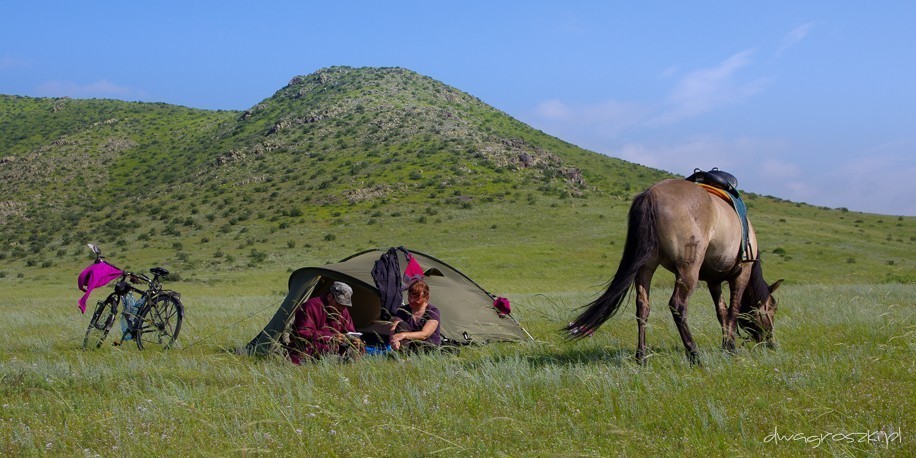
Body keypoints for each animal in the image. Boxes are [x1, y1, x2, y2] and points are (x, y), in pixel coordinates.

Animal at [564, 179, 780, 364]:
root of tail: (651, 195)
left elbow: (722, 312)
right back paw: (694, 355)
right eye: (773, 308)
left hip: (646, 268)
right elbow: (733, 310)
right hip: (688, 271)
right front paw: (731, 348)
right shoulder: (741, 273)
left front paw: (727, 345)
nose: (771, 342)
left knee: (643, 307)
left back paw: (642, 357)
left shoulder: (713, 281)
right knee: (678, 305)